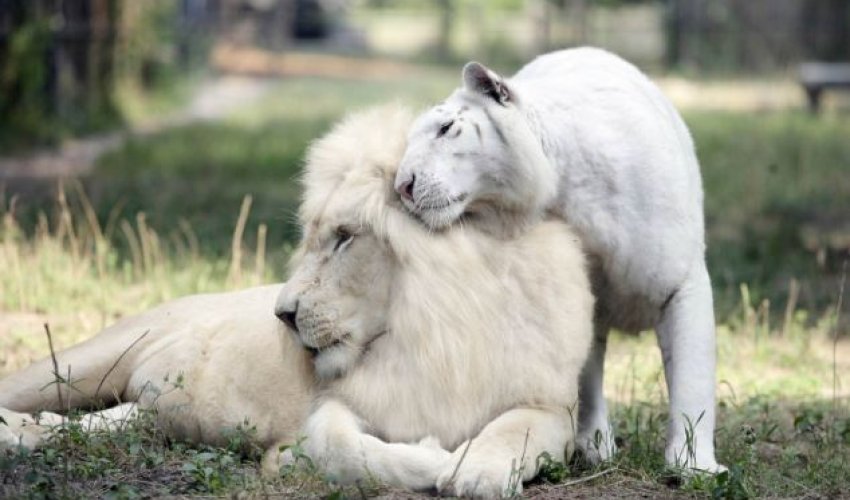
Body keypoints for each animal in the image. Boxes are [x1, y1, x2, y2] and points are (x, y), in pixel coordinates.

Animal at [0, 104, 588, 496]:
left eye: (345, 237)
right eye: (312, 237)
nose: (282, 315)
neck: (434, 330)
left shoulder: (551, 405)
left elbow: (513, 429)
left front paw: (476, 470)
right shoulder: (336, 406)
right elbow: (342, 449)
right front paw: (432, 459)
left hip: (143, 409)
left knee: (94, 422)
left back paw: (32, 433)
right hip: (84, 360)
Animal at [392, 47, 724, 472]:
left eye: (446, 128)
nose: (402, 186)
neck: (566, 186)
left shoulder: (682, 283)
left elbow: (692, 377)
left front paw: (694, 465)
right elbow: (585, 374)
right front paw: (597, 445)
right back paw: (595, 446)